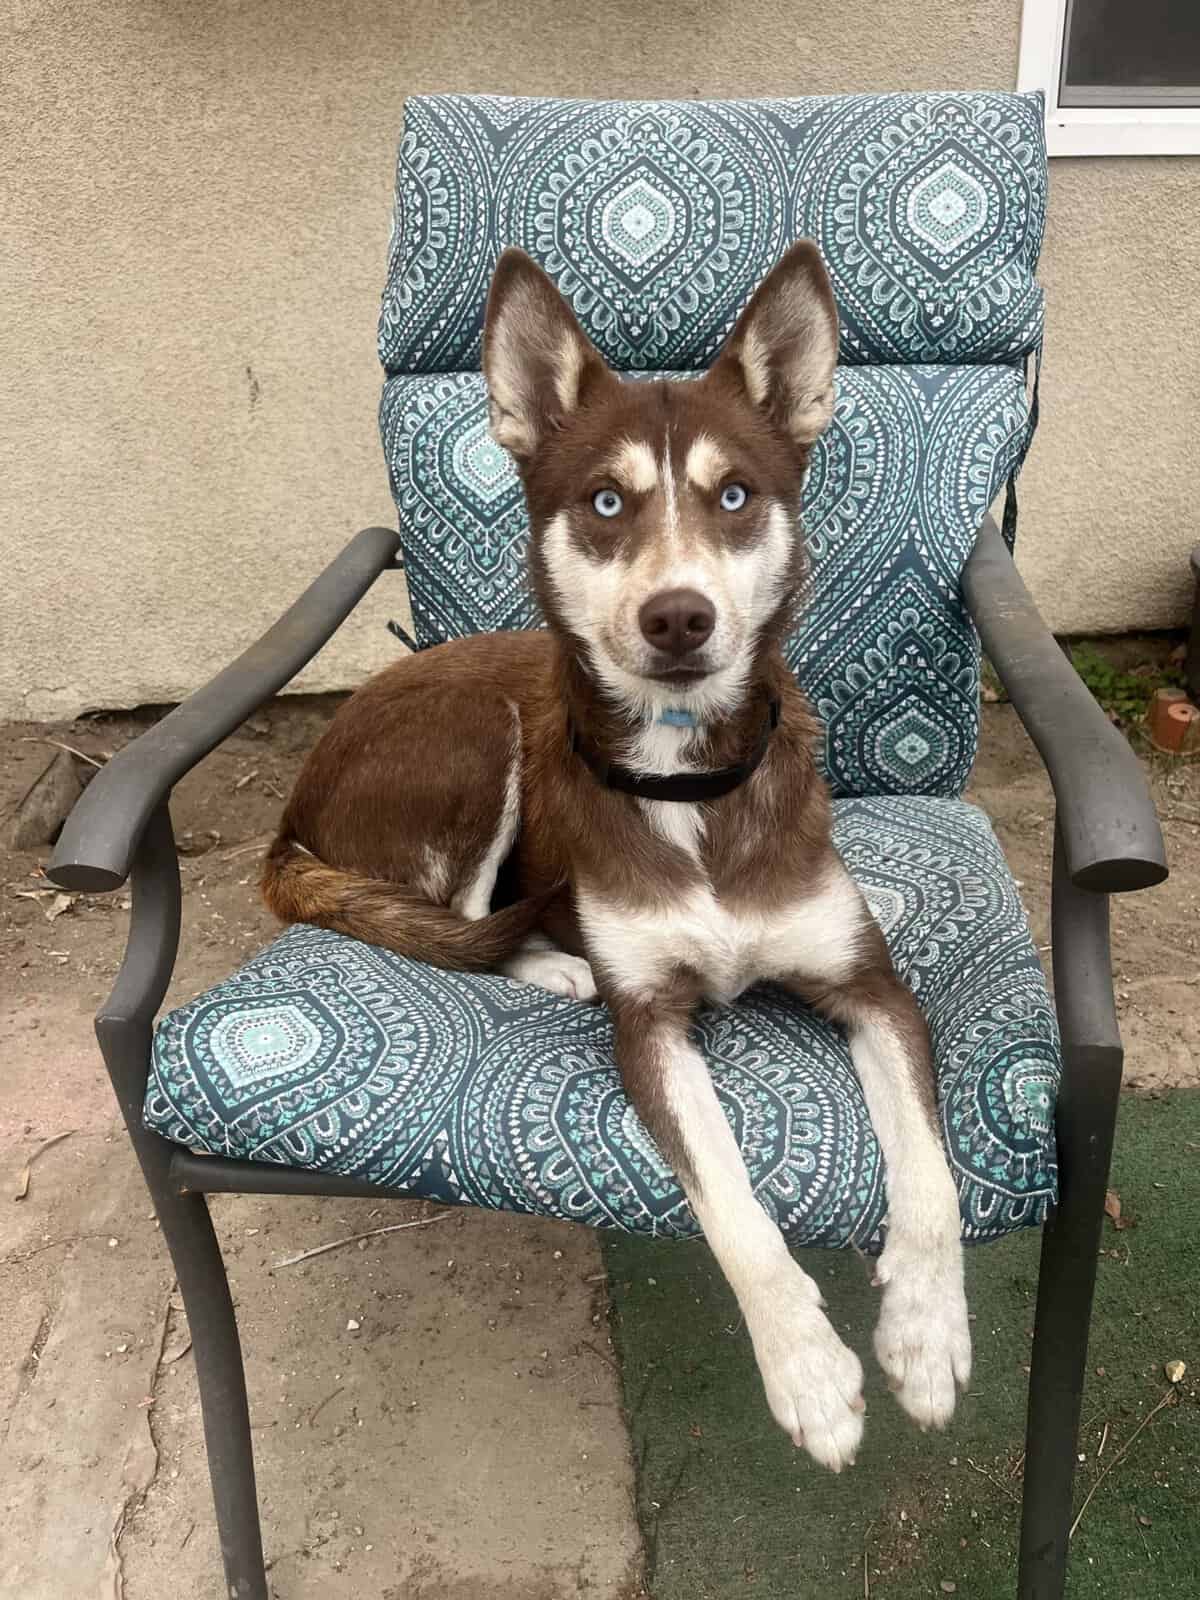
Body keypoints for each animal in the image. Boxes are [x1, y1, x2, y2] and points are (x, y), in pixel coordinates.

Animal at [265, 243, 979, 1465]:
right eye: (605, 501)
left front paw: (926, 1340)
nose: (678, 618)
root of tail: (297, 799)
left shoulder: (874, 989)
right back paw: (555, 962)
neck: (686, 780)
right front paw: (809, 1372)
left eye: (735, 496)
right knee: (453, 920)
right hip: (487, 733)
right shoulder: (649, 1024)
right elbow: (733, 1205)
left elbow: (930, 1179)